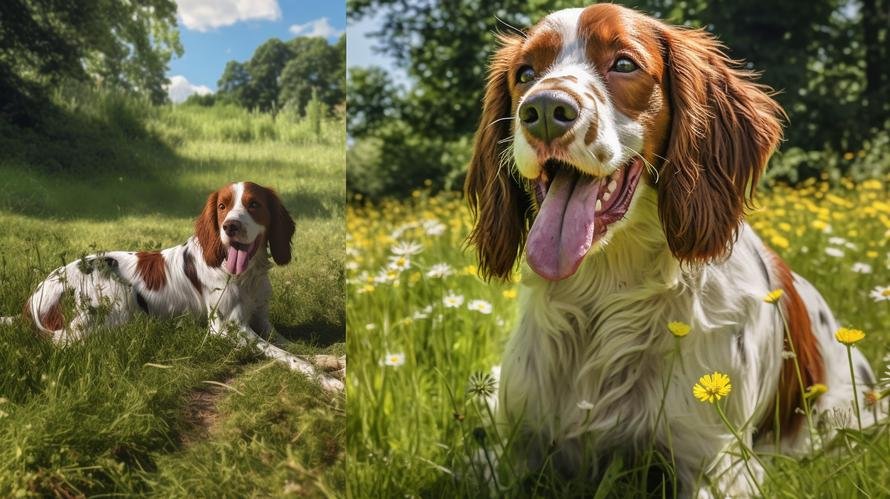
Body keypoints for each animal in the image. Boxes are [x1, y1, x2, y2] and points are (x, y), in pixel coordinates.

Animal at [464, 3, 876, 496]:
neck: (605, 293)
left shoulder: (718, 465)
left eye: (624, 63)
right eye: (525, 73)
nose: (545, 109)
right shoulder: (517, 450)